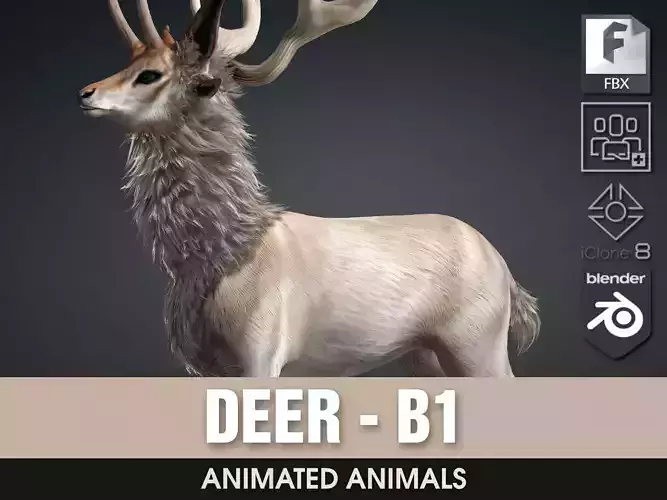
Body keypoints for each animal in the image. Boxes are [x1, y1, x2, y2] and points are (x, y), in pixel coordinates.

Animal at [78, 0, 540, 378]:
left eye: (149, 75)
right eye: (129, 62)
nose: (86, 92)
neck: (219, 260)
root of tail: (509, 277)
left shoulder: (262, 349)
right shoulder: (205, 365)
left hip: (478, 340)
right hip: (427, 353)